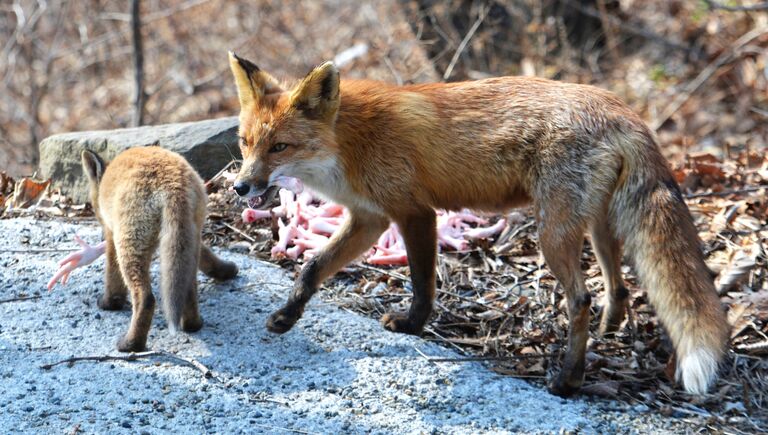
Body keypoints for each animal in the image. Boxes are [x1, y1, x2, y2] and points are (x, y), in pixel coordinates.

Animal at [80, 148, 237, 352]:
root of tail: (174, 183)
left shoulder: (111, 235)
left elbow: (112, 278)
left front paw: (109, 304)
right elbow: (209, 258)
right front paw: (227, 270)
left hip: (130, 244)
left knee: (146, 298)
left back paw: (131, 344)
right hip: (188, 239)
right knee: (188, 290)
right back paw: (193, 324)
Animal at [226, 52, 728, 396]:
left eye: (280, 147)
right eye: (246, 142)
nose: (240, 187)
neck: (346, 144)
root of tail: (622, 109)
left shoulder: (414, 213)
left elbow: (423, 285)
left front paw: (411, 326)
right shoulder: (369, 218)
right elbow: (312, 270)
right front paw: (287, 317)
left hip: (552, 231)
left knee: (580, 298)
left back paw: (568, 379)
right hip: (600, 224)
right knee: (617, 285)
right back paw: (607, 332)